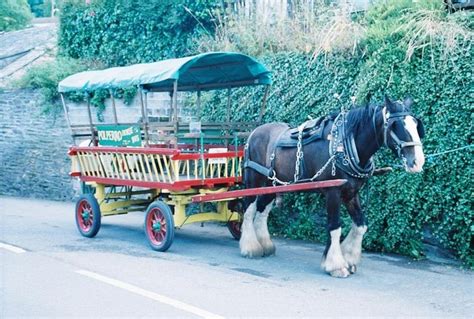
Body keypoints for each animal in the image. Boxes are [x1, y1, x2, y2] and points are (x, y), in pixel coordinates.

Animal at [241, 95, 426, 278]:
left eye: (416, 124)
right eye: (396, 125)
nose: (417, 162)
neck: (346, 144)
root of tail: (254, 132)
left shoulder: (351, 193)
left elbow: (361, 225)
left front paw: (349, 258)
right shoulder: (333, 192)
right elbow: (335, 226)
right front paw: (336, 265)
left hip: (273, 183)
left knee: (262, 209)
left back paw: (265, 245)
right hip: (254, 178)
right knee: (249, 208)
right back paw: (250, 247)